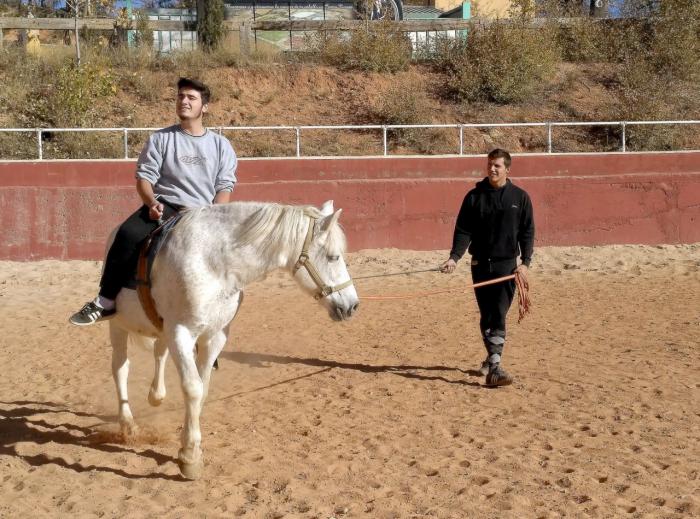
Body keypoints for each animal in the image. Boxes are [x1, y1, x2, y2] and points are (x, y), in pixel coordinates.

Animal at [110, 200, 360, 480]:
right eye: (333, 257)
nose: (352, 305)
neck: (214, 264)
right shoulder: (181, 333)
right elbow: (193, 388)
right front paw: (190, 456)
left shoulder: (214, 337)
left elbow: (203, 388)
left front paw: (190, 443)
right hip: (117, 326)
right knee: (121, 369)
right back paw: (128, 425)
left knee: (158, 353)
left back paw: (156, 395)